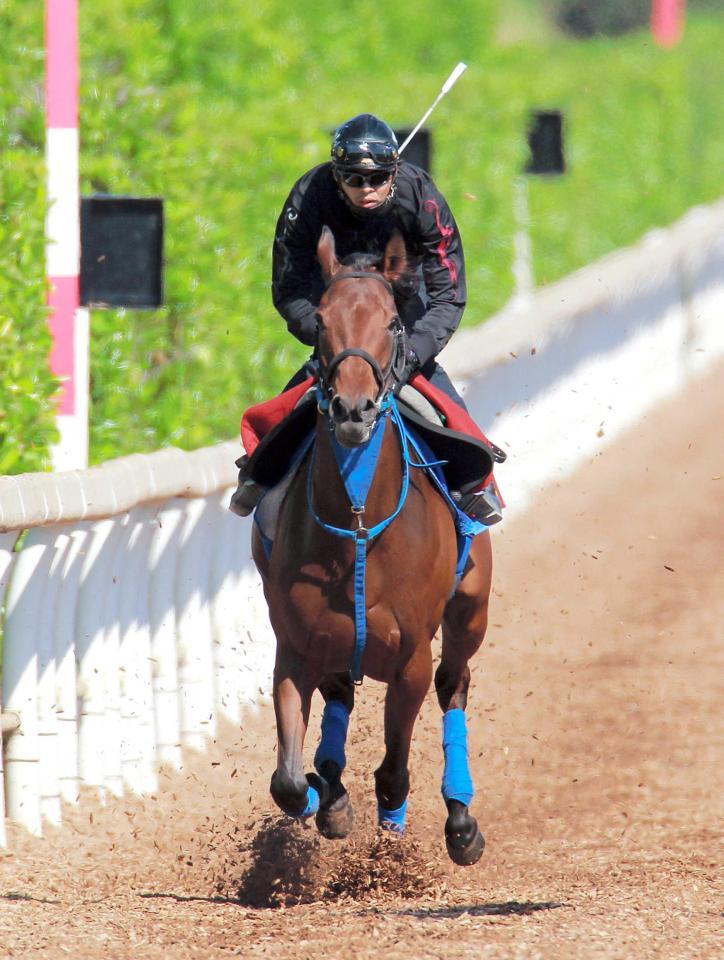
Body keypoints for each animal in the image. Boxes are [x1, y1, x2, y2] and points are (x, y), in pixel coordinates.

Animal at [252, 227, 494, 872]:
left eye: (390, 321)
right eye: (321, 322)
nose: (353, 408)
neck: (359, 527)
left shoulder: (410, 659)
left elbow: (392, 771)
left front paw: (392, 858)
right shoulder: (296, 647)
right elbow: (290, 781)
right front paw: (328, 799)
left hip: (471, 610)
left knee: (454, 684)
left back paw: (459, 819)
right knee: (339, 698)